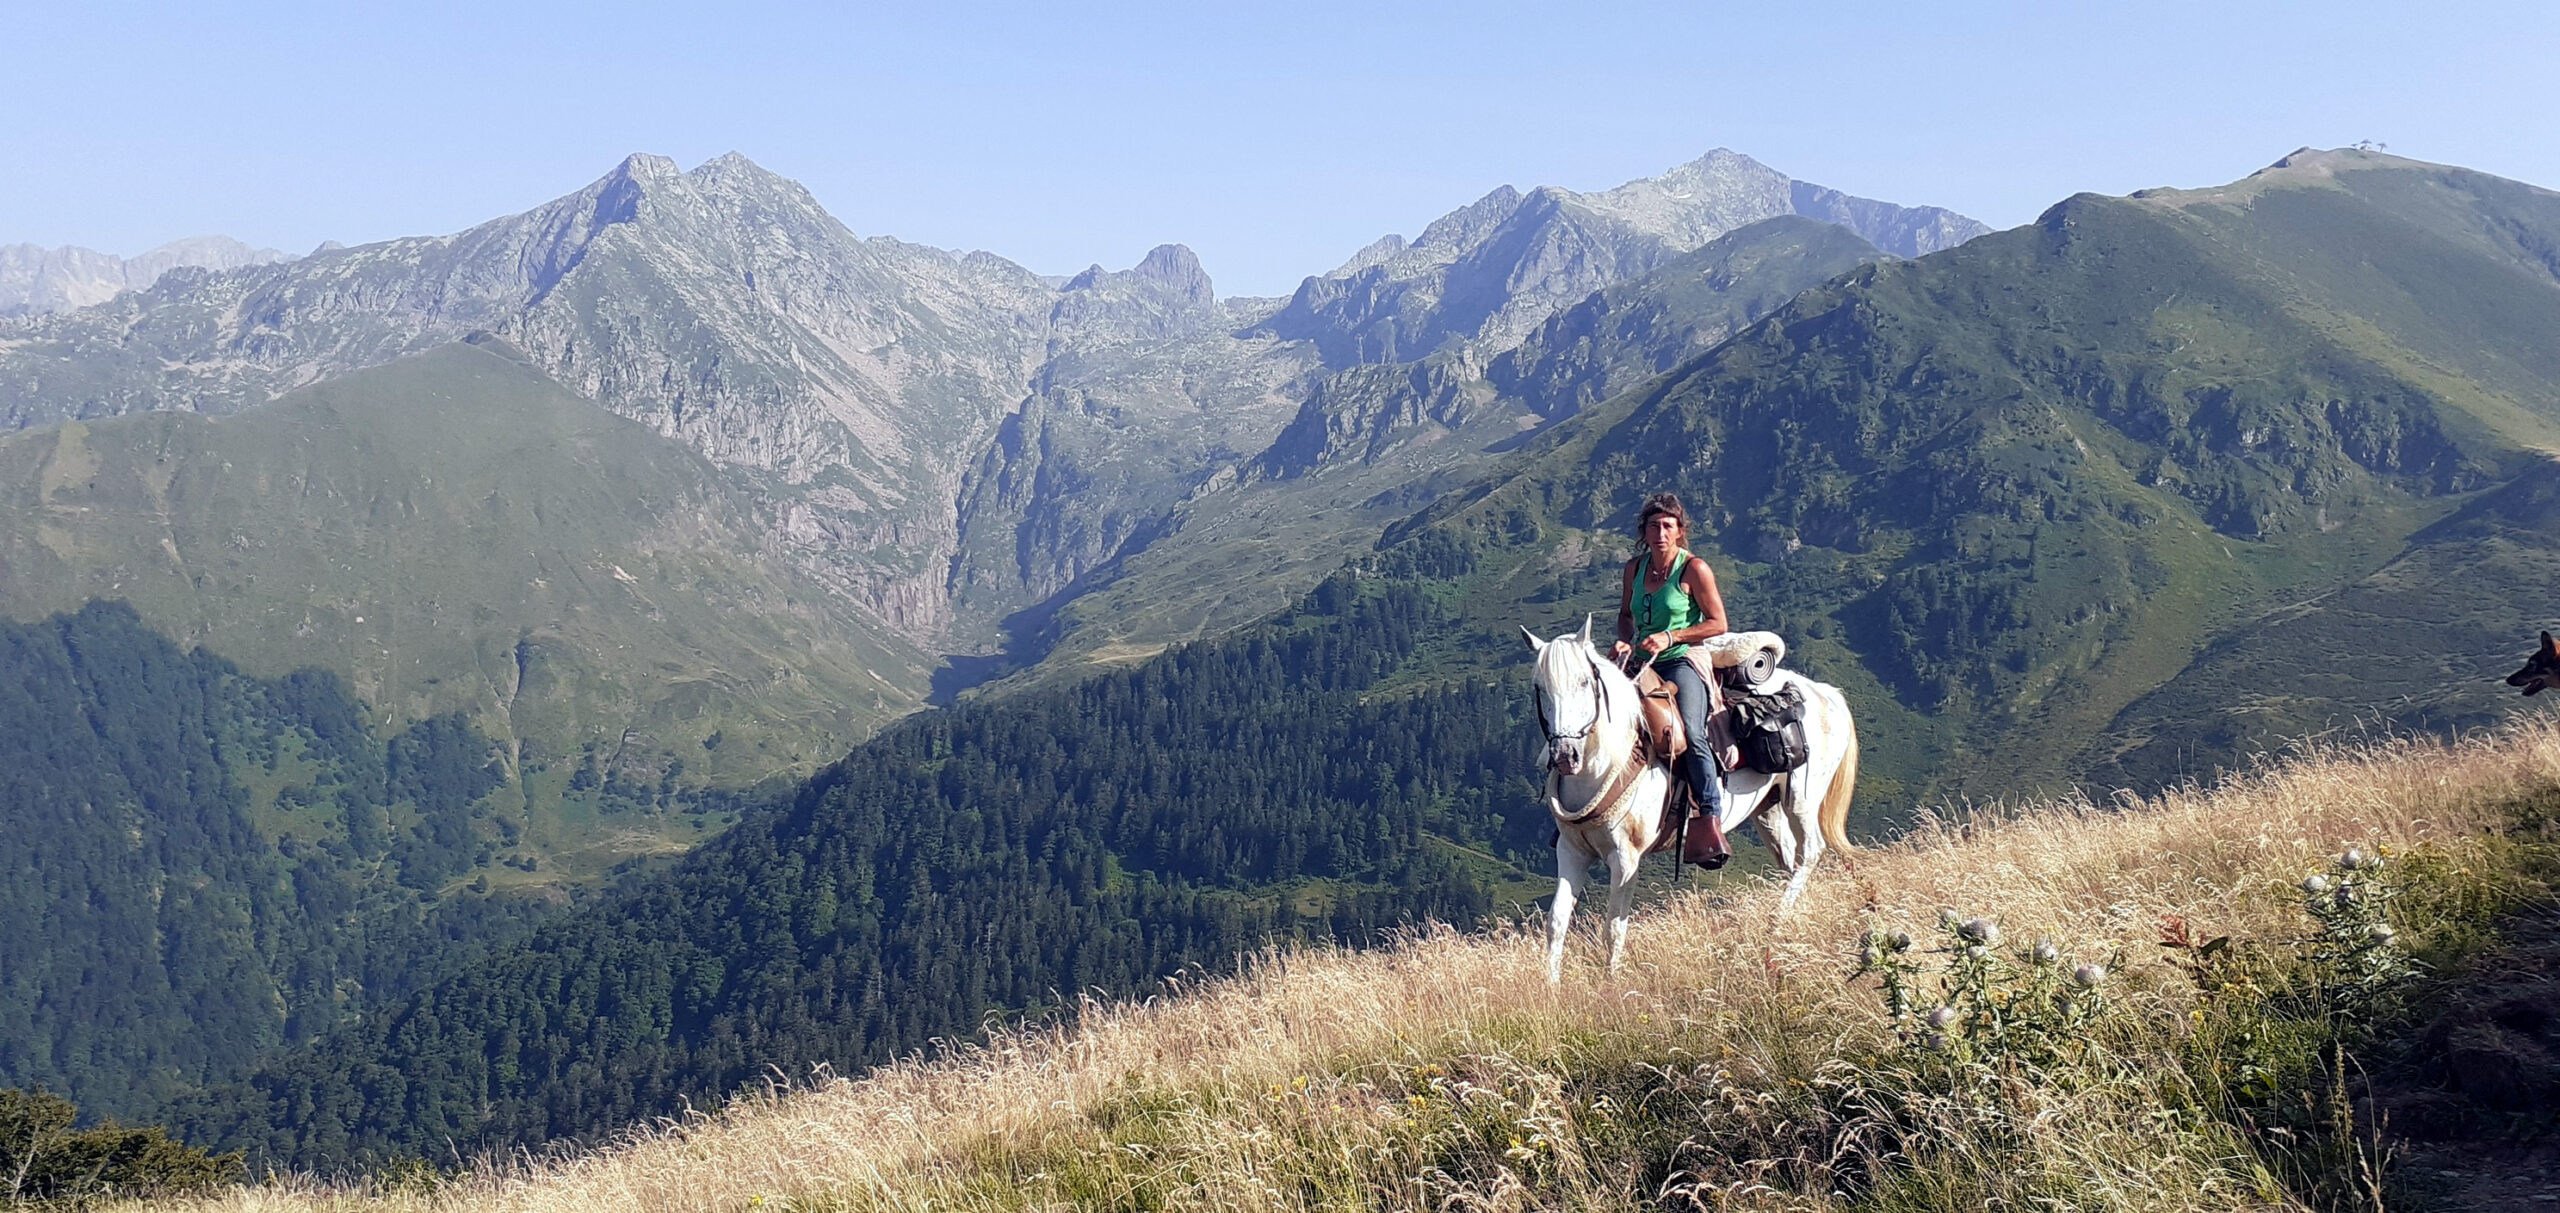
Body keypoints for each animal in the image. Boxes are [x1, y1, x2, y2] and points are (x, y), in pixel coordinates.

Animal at [1515, 621, 1863, 982]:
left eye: (1585, 681)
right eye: (1540, 687)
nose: (1564, 755)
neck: (1607, 761)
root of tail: (1826, 693)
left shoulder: (1625, 859)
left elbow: (1613, 927)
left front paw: (1611, 984)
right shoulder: (1571, 851)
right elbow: (1556, 922)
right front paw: (1552, 985)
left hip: (1802, 799)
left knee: (1810, 852)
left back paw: (1776, 921)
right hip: (1769, 810)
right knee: (1791, 860)